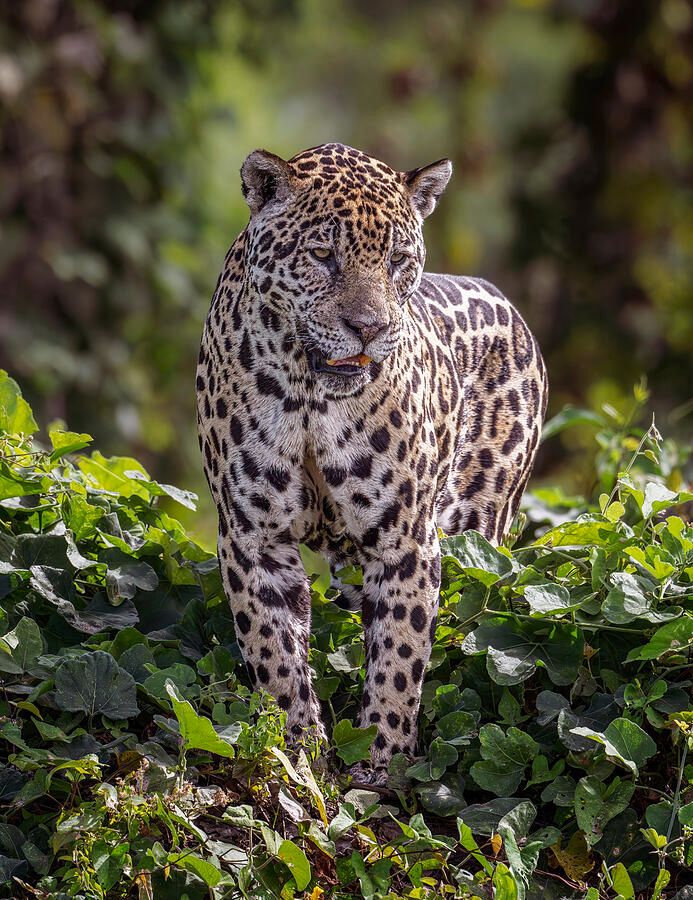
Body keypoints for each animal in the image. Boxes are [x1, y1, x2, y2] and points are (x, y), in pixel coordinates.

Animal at [196, 142, 548, 782]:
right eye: (322, 255)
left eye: (396, 260)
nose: (368, 328)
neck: (309, 395)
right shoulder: (252, 536)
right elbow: (275, 653)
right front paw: (297, 755)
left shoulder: (405, 541)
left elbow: (400, 656)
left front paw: (381, 763)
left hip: (481, 530)